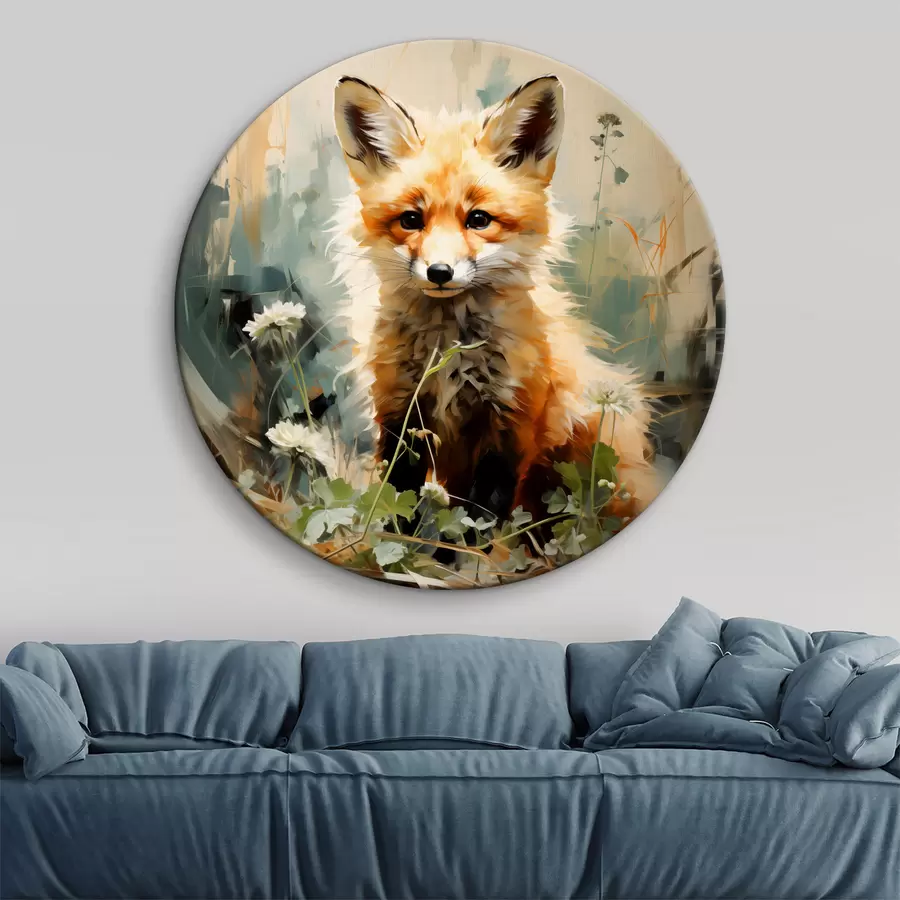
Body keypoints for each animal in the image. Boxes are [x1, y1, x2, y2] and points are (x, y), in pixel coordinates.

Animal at [331, 74, 658, 526]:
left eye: (478, 219)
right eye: (411, 220)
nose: (440, 273)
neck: (449, 348)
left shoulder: (509, 424)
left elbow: (481, 519)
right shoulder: (399, 412)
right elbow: (398, 499)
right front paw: (395, 541)